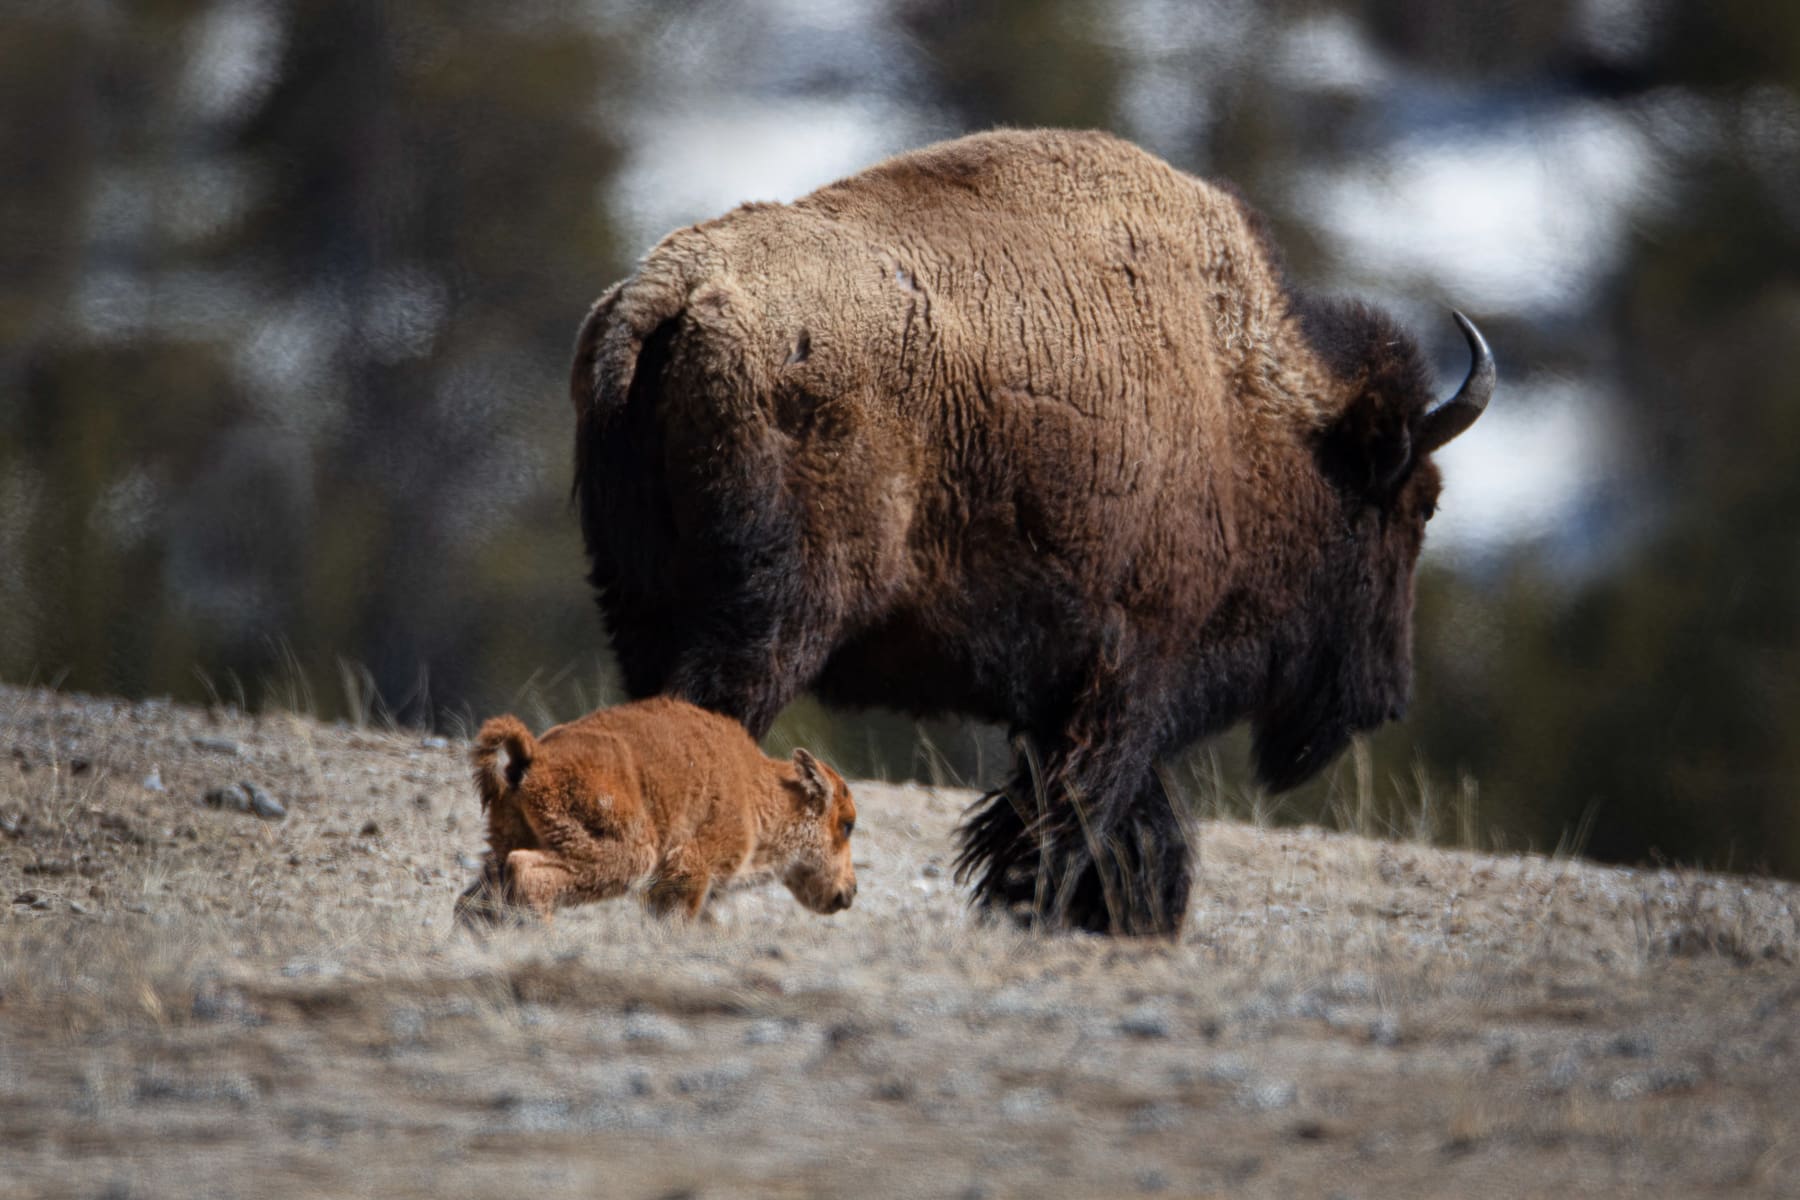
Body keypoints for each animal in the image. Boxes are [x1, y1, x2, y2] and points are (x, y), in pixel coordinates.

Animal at [569, 128, 1494, 936]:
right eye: (1419, 505)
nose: (1388, 696)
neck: (1241, 406)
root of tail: (670, 289)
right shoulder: (1128, 675)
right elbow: (1080, 814)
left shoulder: (1072, 696)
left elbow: (1116, 816)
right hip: (773, 624)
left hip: (641, 603)